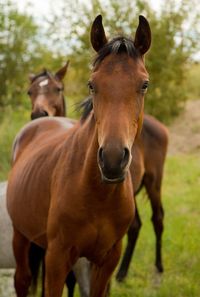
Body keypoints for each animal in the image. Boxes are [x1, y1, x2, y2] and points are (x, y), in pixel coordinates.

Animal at [6, 14, 152, 296]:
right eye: (91, 84)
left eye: (144, 84)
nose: (113, 159)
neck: (97, 194)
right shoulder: (57, 257)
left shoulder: (107, 261)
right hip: (21, 235)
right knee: (22, 279)